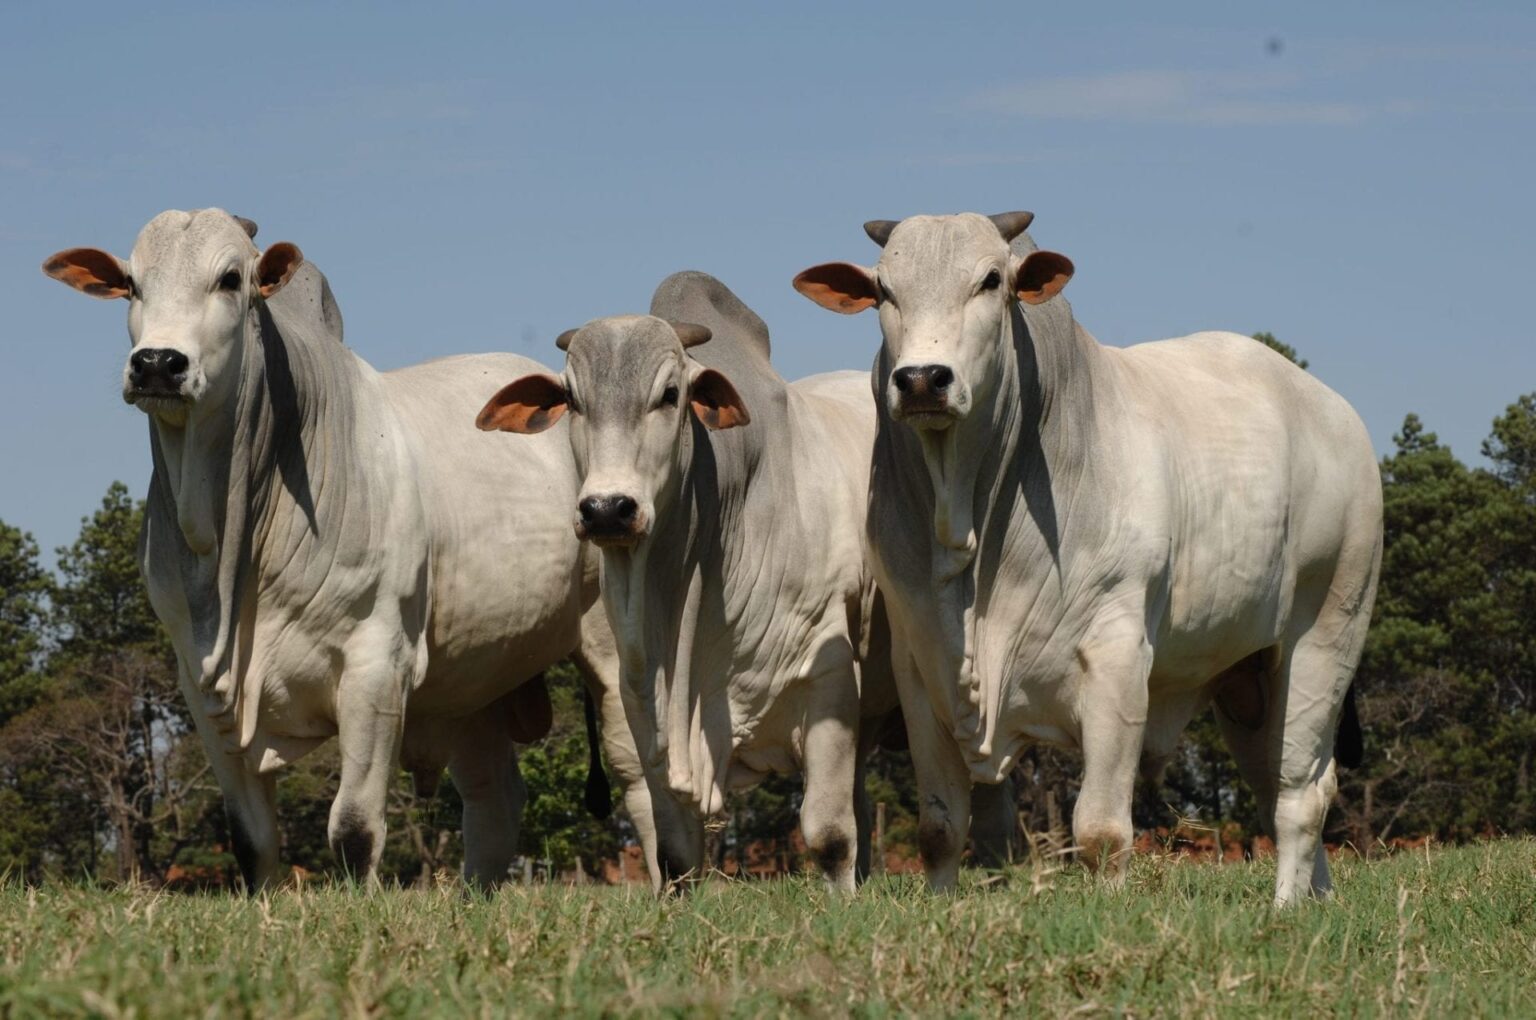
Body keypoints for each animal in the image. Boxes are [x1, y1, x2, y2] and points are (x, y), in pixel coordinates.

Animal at [42, 210, 629, 890]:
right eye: (132, 285)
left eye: (230, 278)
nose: (158, 363)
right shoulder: (200, 683)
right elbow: (252, 840)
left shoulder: (377, 663)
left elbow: (352, 828)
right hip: (473, 677)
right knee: (495, 798)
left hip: (613, 645)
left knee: (643, 767)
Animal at [479, 273, 897, 890]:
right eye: (573, 400)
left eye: (670, 394)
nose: (607, 509)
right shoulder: (641, 707)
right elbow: (674, 855)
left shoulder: (830, 676)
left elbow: (828, 833)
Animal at [792, 213, 1382, 903]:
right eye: (884, 289)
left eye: (991, 280)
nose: (920, 380)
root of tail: (1337, 414)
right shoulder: (920, 667)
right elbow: (940, 828)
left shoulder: (1117, 658)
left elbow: (1100, 830)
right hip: (1249, 677)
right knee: (1287, 782)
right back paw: (1318, 896)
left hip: (1327, 632)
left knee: (1299, 795)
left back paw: (1286, 904)